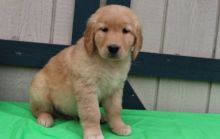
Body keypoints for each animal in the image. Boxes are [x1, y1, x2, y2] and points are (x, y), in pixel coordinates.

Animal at [29, 4, 143, 139]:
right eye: (104, 29)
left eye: (126, 31)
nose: (113, 48)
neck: (109, 63)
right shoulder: (87, 89)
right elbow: (92, 113)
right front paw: (94, 133)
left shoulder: (115, 89)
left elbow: (115, 110)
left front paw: (119, 126)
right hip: (40, 90)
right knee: (38, 110)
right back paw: (45, 118)